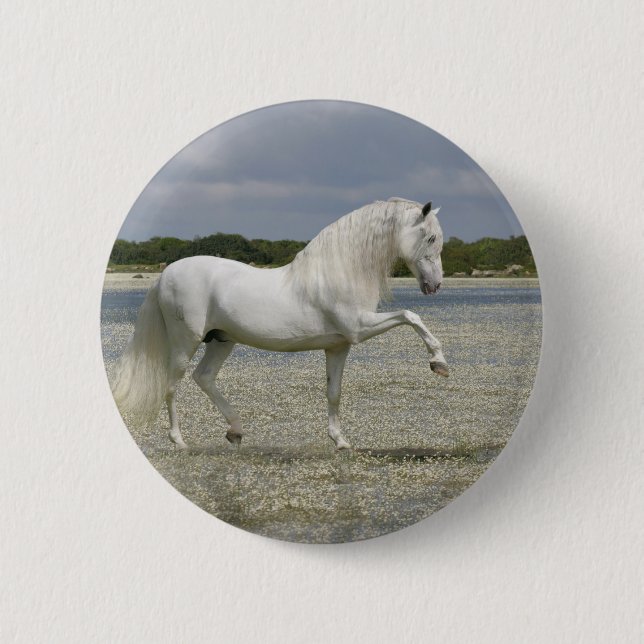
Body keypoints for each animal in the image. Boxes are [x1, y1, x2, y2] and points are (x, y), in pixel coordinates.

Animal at [110, 198, 449, 450]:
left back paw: (236, 431)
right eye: (430, 237)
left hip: (222, 340)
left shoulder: (339, 346)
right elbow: (411, 316)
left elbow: (334, 392)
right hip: (186, 342)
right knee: (171, 385)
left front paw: (340, 441)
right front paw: (438, 363)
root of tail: (164, 276)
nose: (435, 286)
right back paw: (180, 441)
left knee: (203, 377)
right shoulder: (359, 328)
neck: (338, 271)